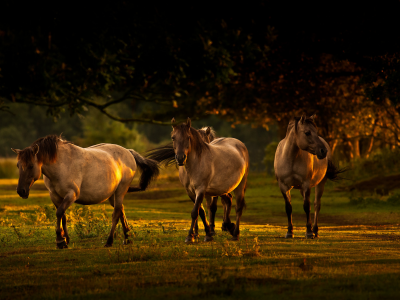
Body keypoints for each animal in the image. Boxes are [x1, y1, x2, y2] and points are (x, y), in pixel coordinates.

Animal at [11, 135, 158, 247]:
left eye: (31, 166)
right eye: (18, 165)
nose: (21, 191)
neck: (61, 164)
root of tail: (128, 151)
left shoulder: (71, 195)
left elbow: (59, 213)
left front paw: (60, 240)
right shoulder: (55, 197)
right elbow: (63, 216)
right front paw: (66, 240)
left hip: (120, 191)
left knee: (116, 214)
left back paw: (109, 241)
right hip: (113, 195)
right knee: (121, 211)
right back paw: (127, 238)